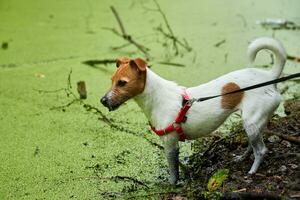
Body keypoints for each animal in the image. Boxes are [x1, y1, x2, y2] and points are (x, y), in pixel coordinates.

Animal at [100, 37, 286, 184]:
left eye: (122, 83)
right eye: (111, 80)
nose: (103, 101)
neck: (157, 98)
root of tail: (269, 77)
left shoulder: (170, 144)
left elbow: (173, 172)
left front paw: (171, 185)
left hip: (251, 121)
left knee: (261, 150)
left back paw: (252, 171)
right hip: (253, 122)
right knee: (253, 145)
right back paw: (243, 158)